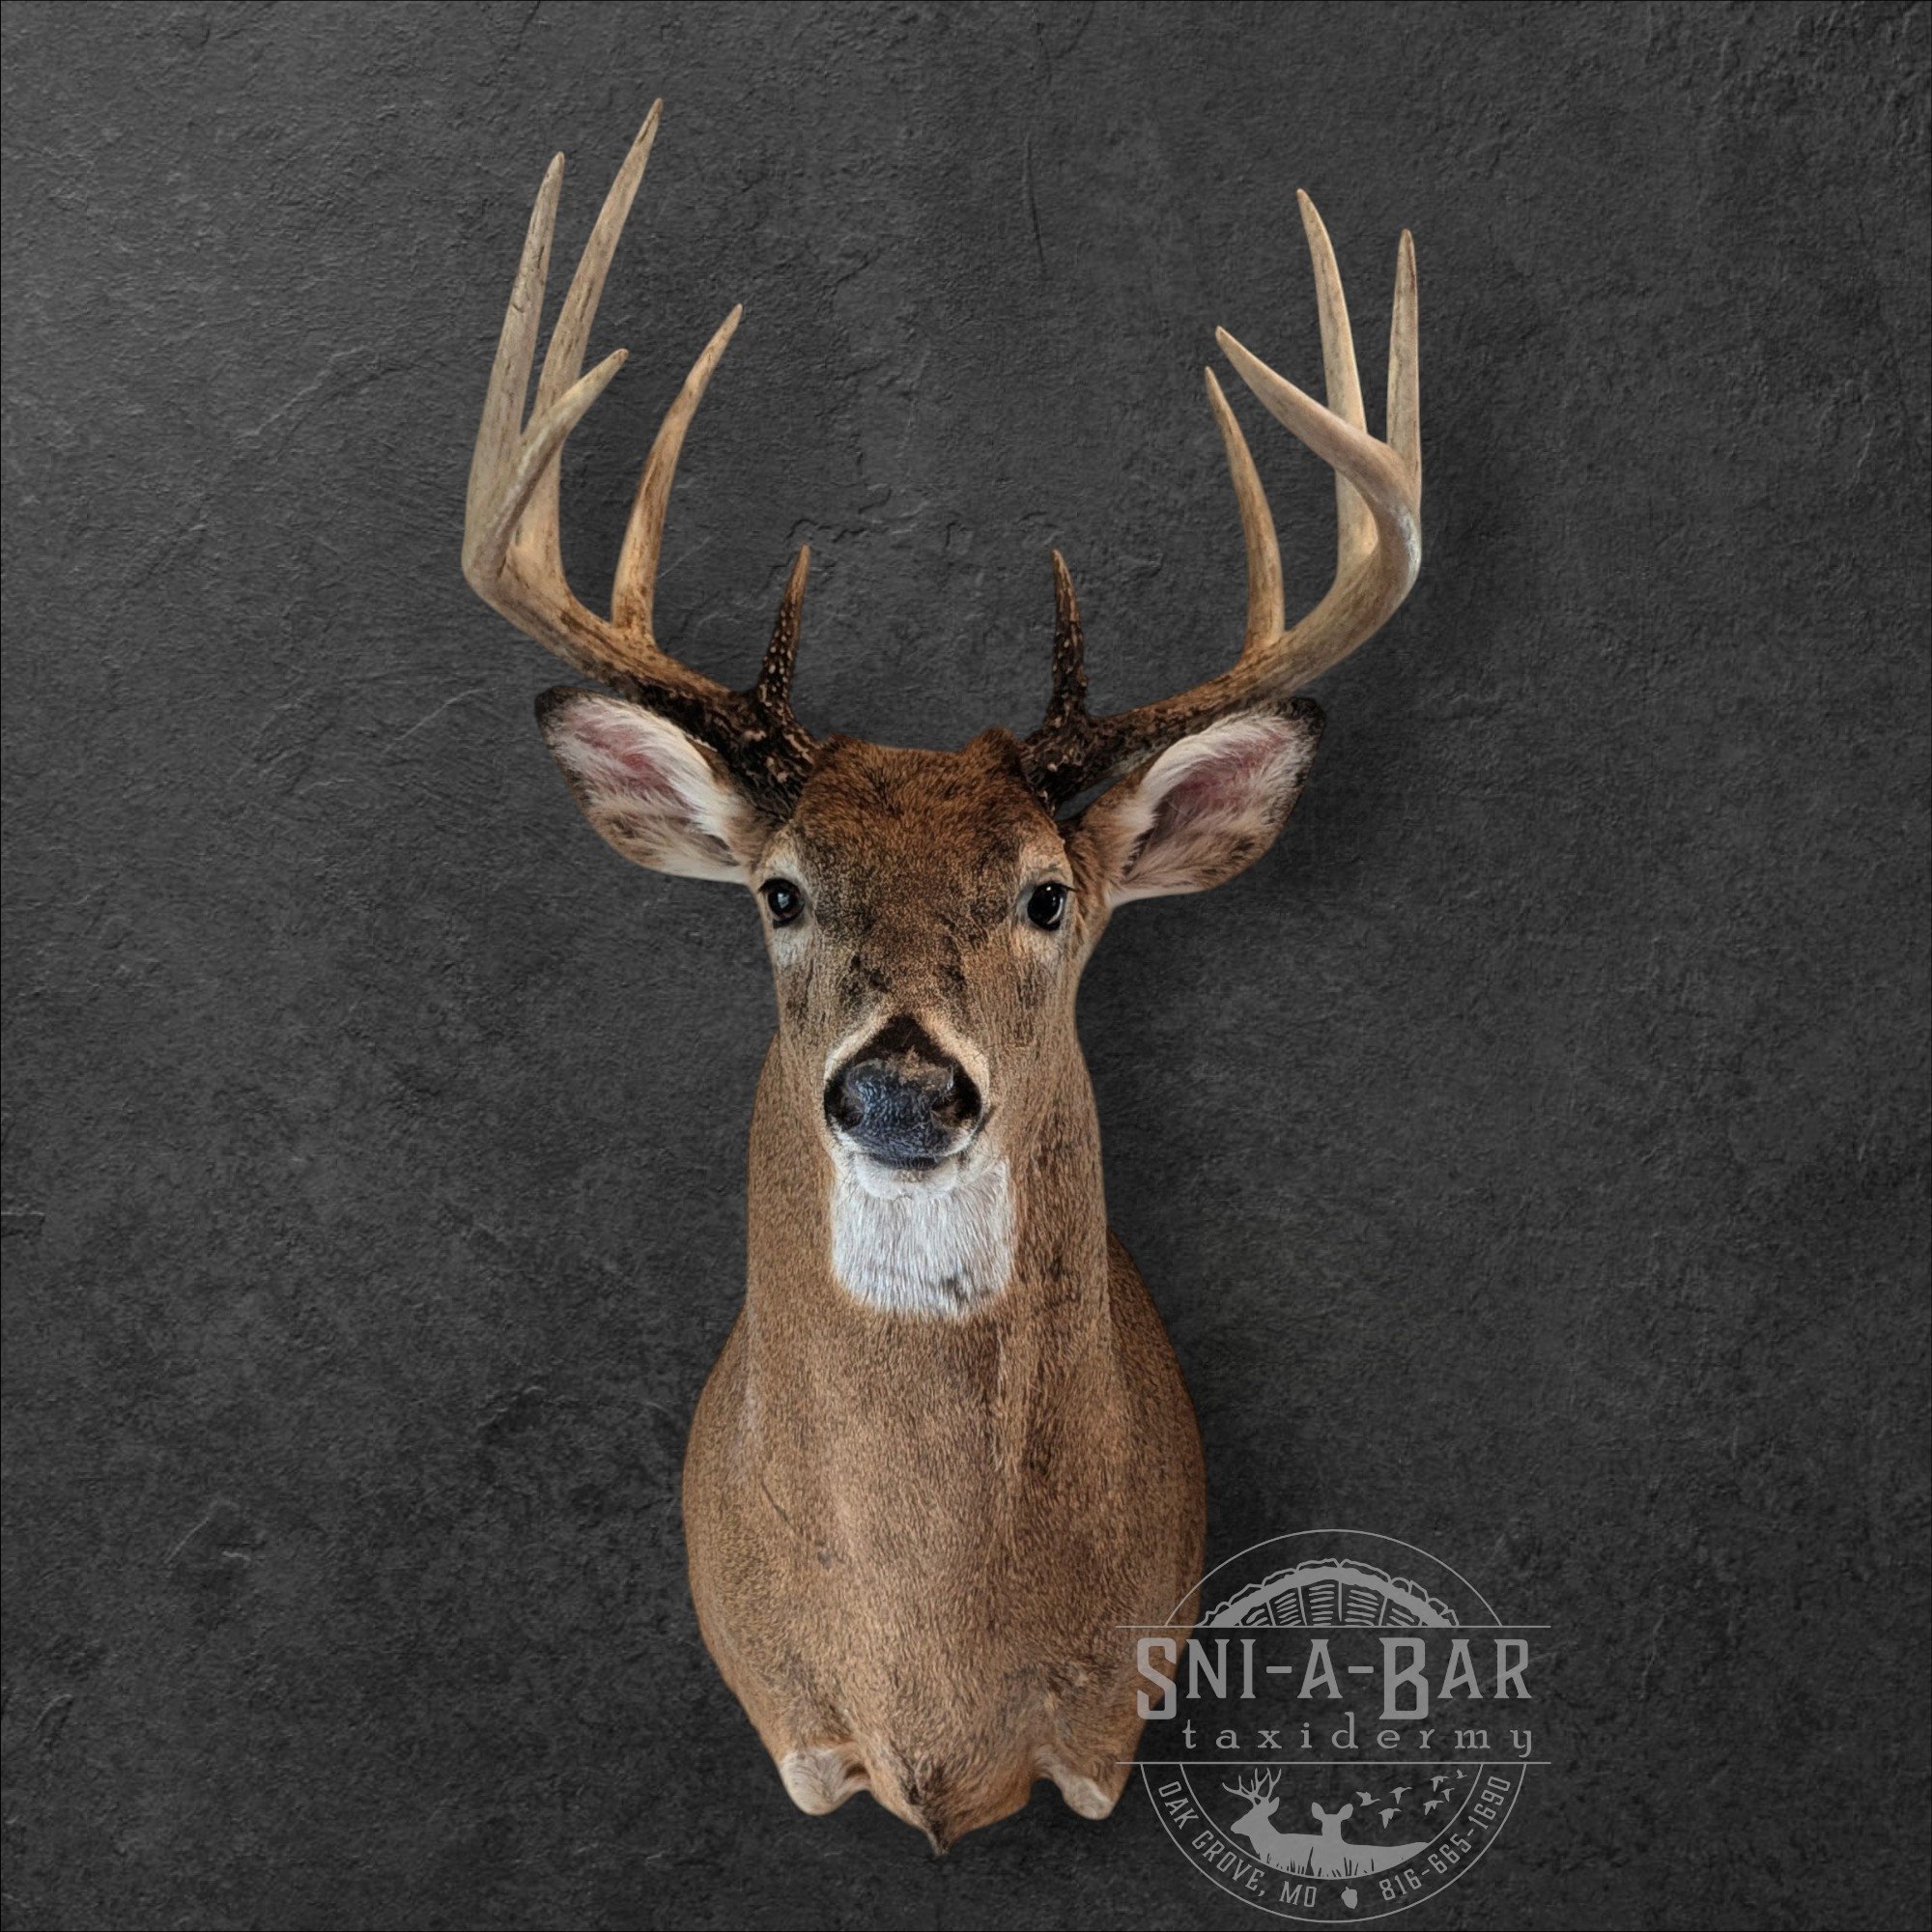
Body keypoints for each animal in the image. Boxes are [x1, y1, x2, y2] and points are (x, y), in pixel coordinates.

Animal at [461, 105, 1421, 1851]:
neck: (936, 1698)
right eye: (780, 890)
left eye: (1048, 895)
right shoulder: (795, 1728)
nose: (903, 1087)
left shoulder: (1108, 1726)